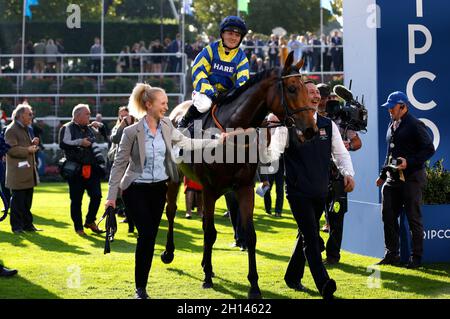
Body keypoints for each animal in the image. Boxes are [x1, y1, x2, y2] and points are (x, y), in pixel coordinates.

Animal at [162, 52, 316, 300]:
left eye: (305, 88)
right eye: (292, 88)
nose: (311, 129)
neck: (231, 132)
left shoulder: (243, 188)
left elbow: (249, 235)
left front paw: (254, 285)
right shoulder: (209, 189)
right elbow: (209, 232)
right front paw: (206, 278)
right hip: (175, 176)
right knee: (171, 211)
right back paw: (169, 253)